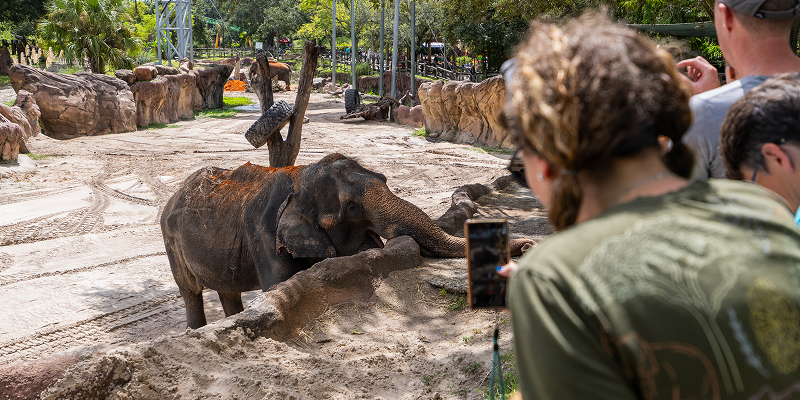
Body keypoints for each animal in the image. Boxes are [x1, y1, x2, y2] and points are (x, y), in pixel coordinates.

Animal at [161, 153, 533, 328]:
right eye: (352, 207)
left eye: (384, 178)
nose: (529, 244)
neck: (298, 176)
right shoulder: (263, 235)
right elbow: (278, 285)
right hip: (170, 242)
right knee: (190, 291)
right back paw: (196, 330)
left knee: (227, 290)